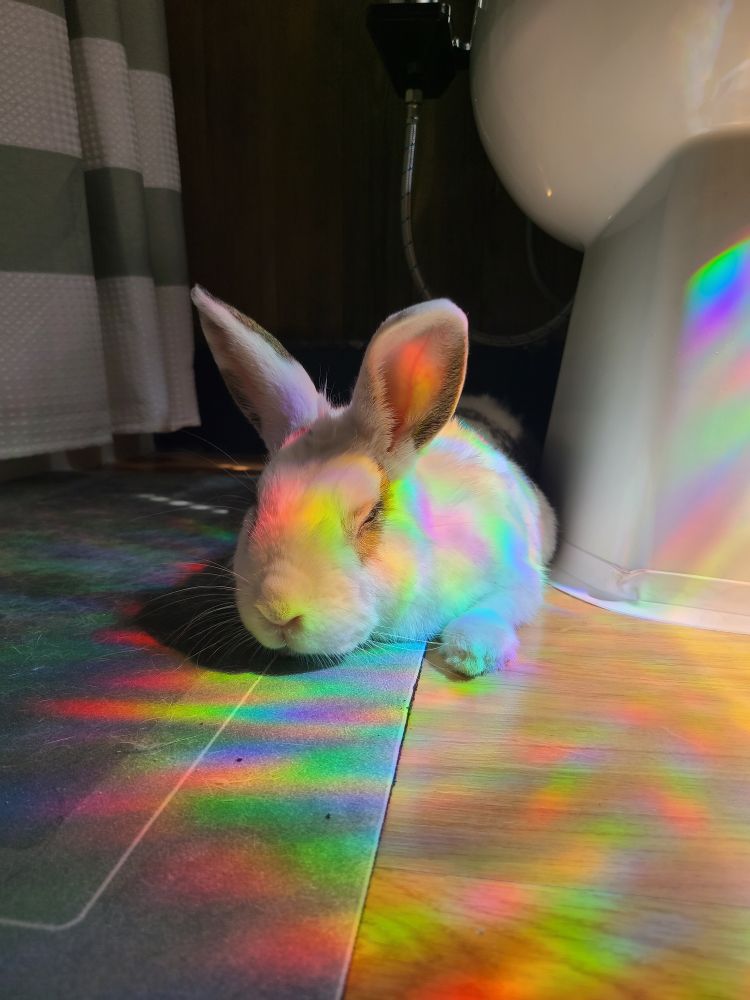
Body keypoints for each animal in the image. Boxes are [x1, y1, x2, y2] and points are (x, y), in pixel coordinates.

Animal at [191, 286, 557, 677]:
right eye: (256, 504)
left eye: (371, 514)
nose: (278, 613)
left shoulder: (521, 575)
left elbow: (502, 604)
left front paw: (471, 653)